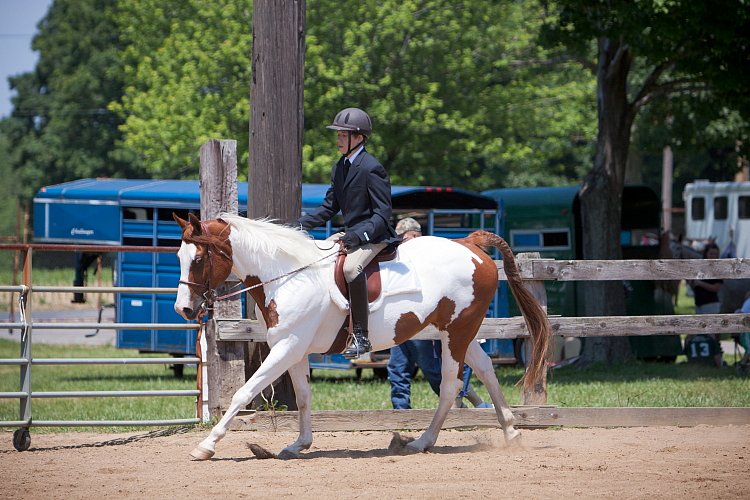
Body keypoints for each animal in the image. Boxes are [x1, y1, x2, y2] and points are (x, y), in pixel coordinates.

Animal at [176, 213, 552, 458]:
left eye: (199, 258)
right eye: (179, 255)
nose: (184, 309)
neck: (288, 275)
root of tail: (470, 245)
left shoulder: (287, 347)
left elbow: (244, 393)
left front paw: (206, 445)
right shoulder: (293, 349)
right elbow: (303, 396)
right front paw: (300, 444)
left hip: (456, 334)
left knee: (449, 386)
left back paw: (422, 442)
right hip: (459, 332)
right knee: (486, 370)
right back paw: (511, 431)